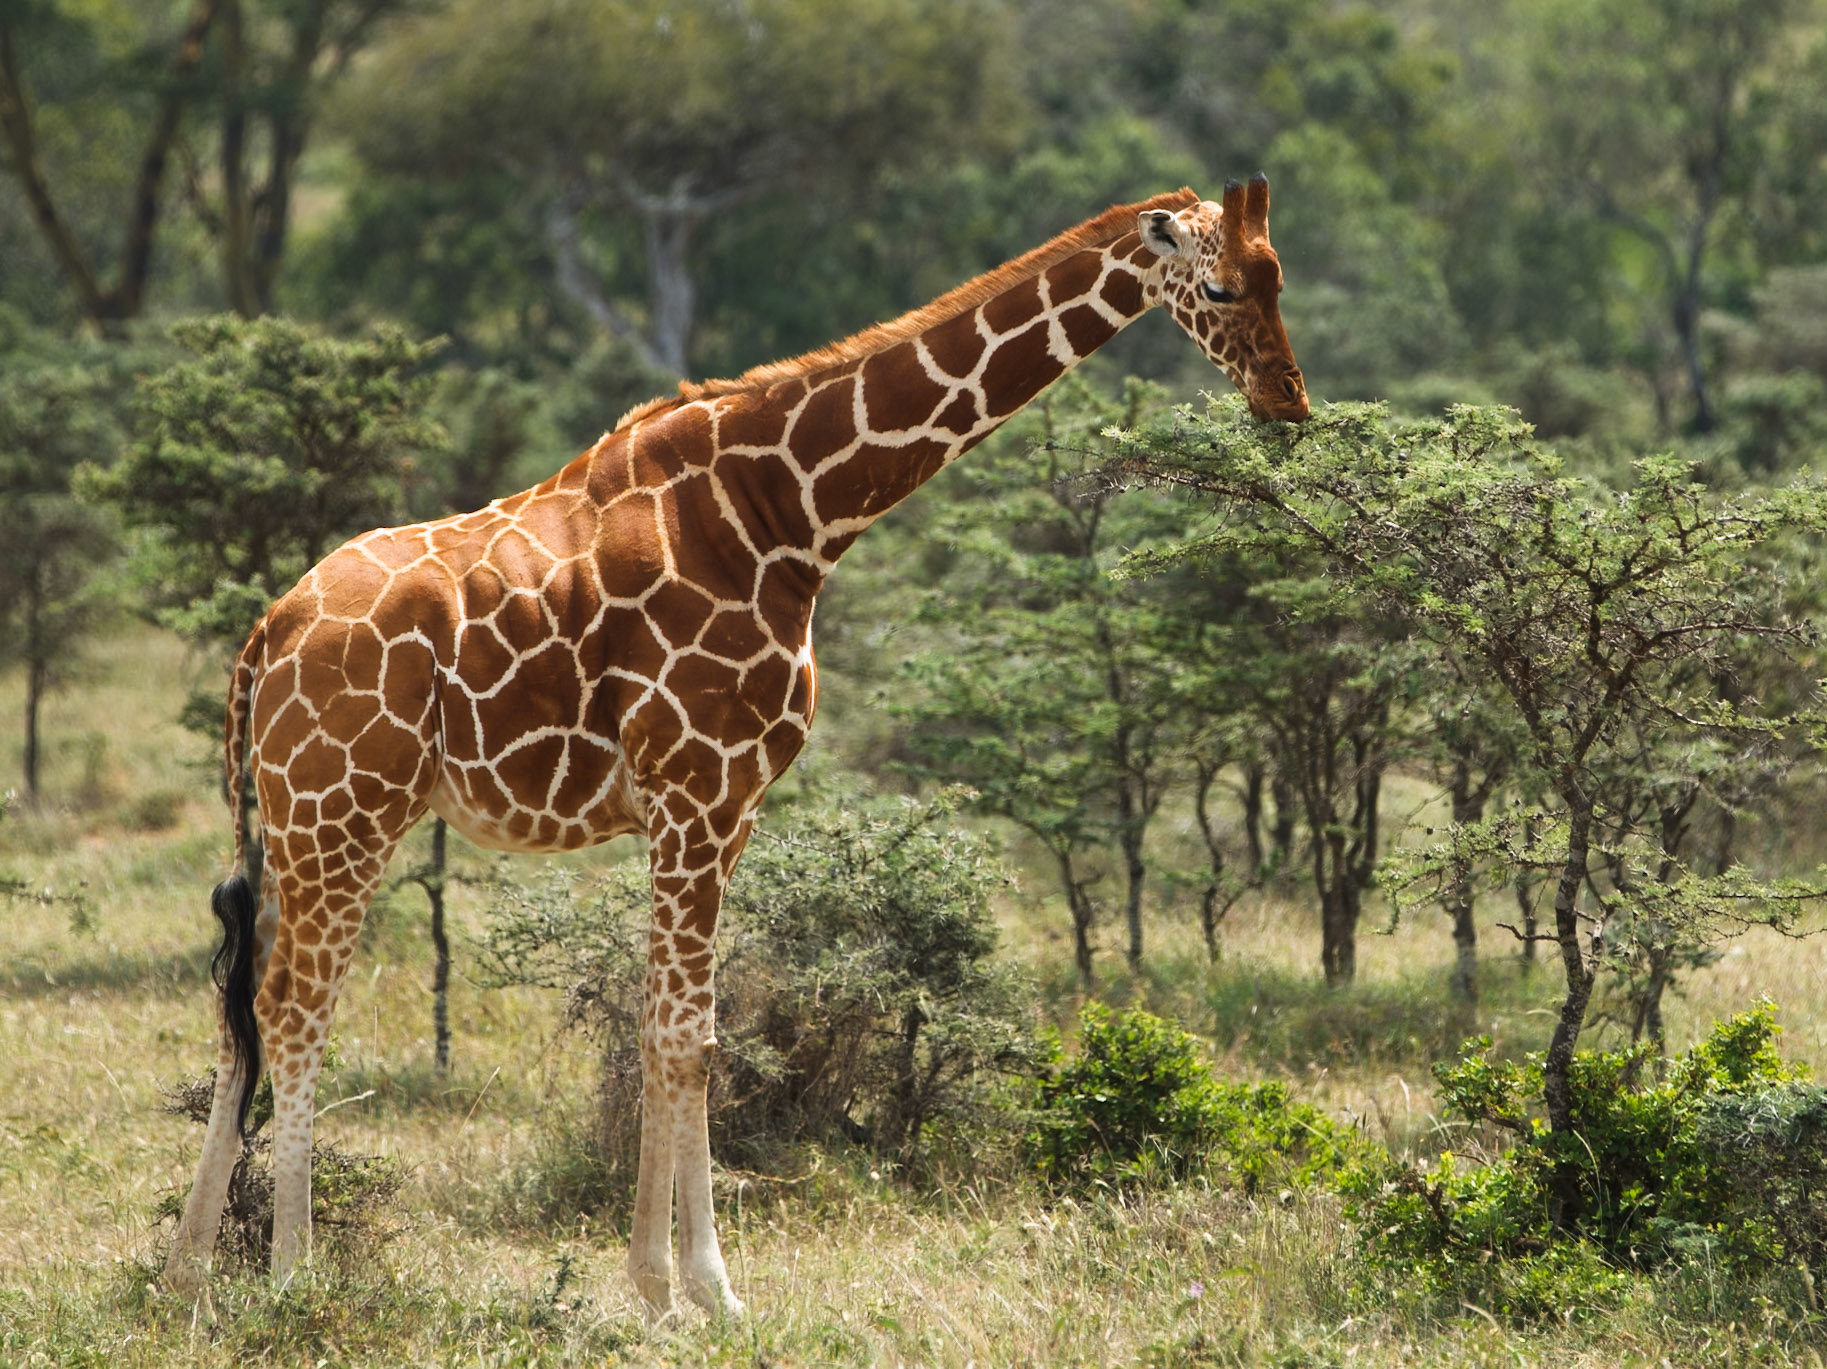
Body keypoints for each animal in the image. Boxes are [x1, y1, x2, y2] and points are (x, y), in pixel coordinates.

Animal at [163, 177, 1308, 1317]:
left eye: (1277, 278)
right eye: (1218, 287)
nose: (1288, 404)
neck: (793, 511)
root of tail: (267, 633)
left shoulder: (730, 801)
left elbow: (680, 1028)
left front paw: (660, 1281)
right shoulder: (696, 784)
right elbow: (688, 1036)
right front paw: (700, 1289)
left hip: (298, 822)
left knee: (241, 1010)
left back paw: (189, 1271)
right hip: (345, 812)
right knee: (294, 1012)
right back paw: (292, 1275)